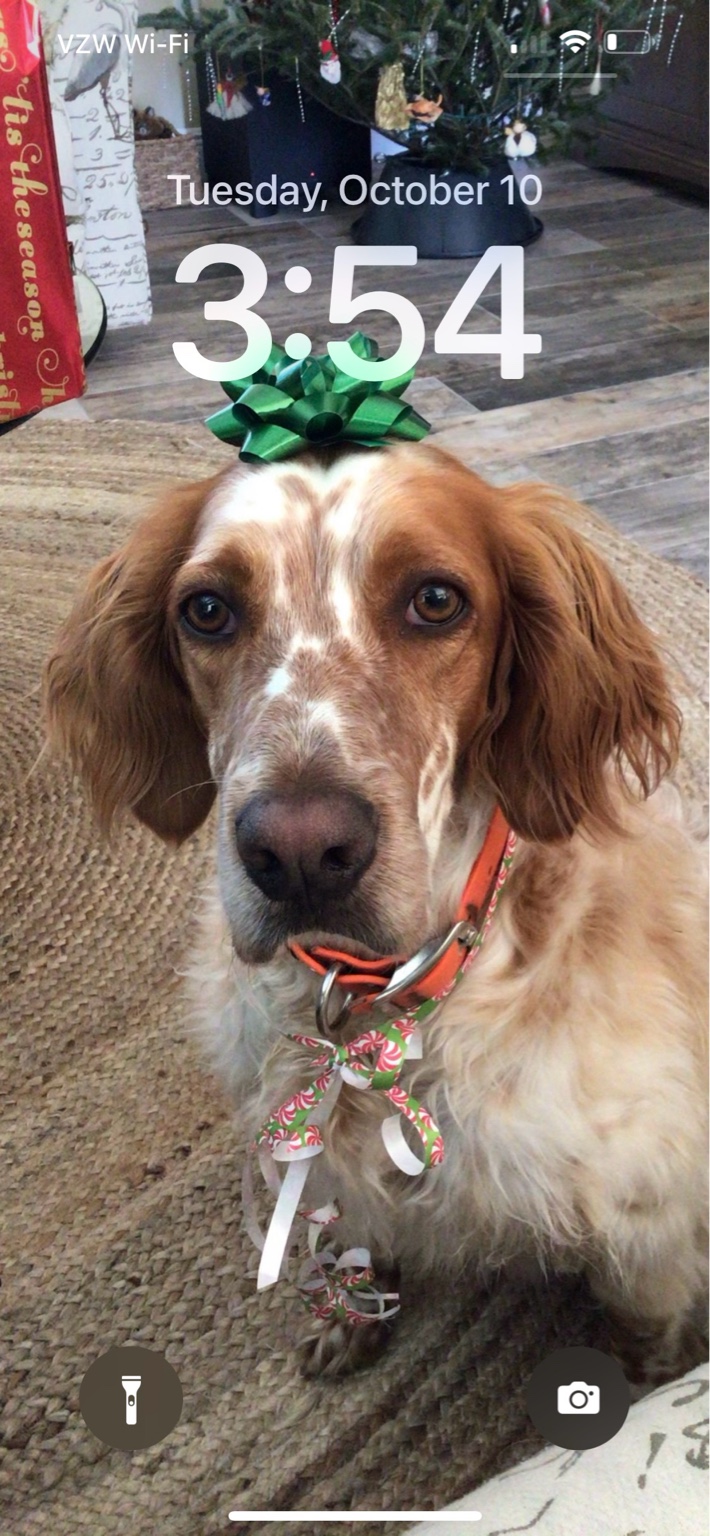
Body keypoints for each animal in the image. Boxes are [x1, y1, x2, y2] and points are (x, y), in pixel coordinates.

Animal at [45, 443, 708, 1384]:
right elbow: (354, 1244)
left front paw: (649, 1386)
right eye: (207, 610)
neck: (372, 1003)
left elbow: (645, 1331)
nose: (297, 854)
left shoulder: (647, 1222)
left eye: (435, 599)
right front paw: (350, 1317)